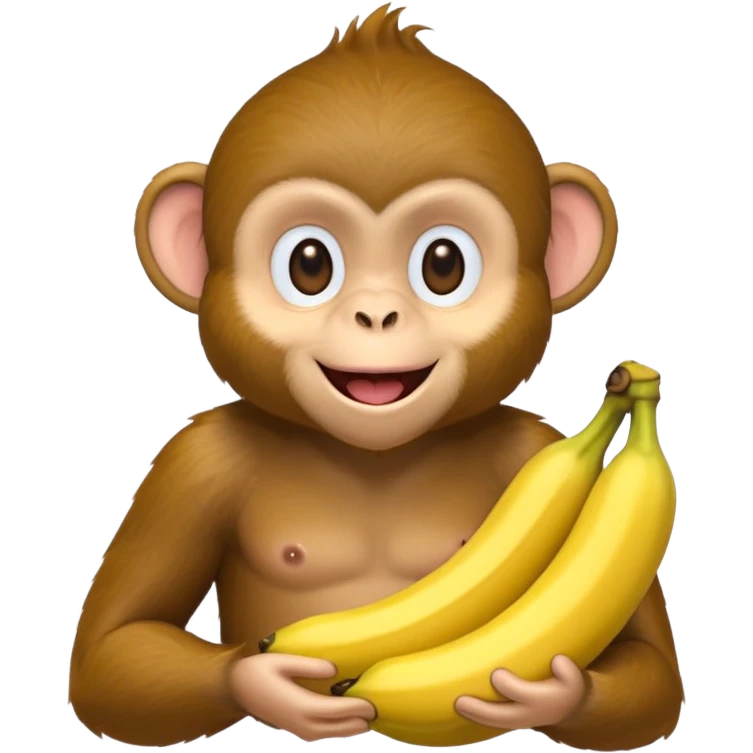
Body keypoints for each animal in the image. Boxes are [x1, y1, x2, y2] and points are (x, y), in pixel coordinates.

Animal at [68, 3, 685, 749]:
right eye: (309, 263)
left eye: (444, 263)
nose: (377, 313)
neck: (374, 454)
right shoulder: (194, 462)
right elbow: (111, 649)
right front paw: (263, 677)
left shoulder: (534, 446)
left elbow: (651, 670)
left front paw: (547, 692)